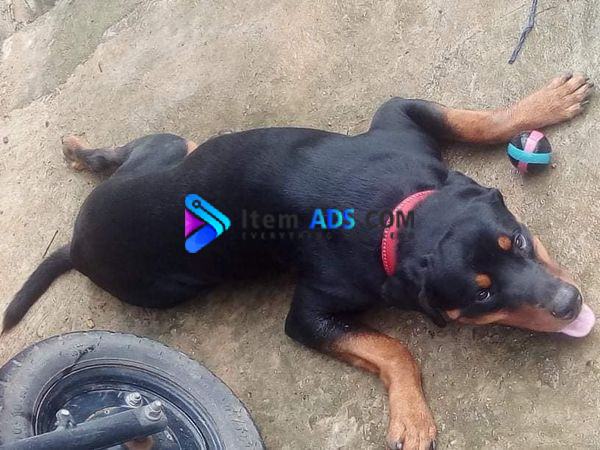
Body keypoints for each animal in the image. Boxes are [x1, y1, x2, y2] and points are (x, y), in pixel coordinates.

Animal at [3, 73, 596, 450]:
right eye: (481, 293)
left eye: (517, 242)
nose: (570, 303)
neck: (399, 214)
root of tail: (76, 243)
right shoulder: (310, 315)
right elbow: (393, 348)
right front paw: (411, 416)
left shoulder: (399, 117)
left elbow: (474, 121)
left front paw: (543, 104)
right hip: (166, 283)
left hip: (166, 152)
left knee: (143, 148)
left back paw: (81, 151)